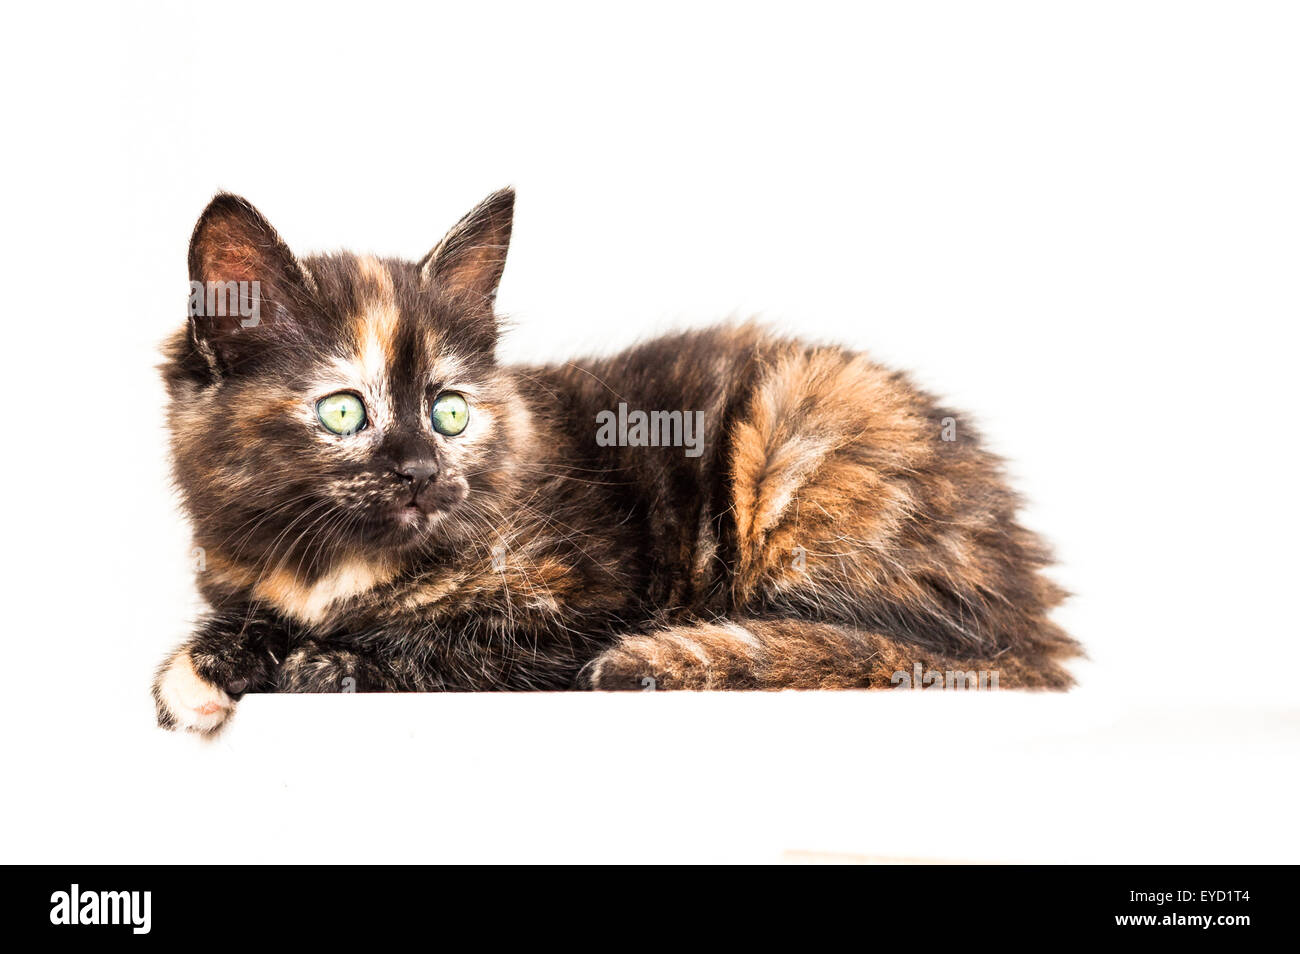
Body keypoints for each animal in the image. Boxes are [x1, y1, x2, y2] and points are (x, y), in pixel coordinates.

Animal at [152, 191, 1076, 738]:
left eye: (450, 411)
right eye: (344, 411)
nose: (420, 472)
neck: (333, 565)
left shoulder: (589, 600)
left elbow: (453, 642)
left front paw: (326, 662)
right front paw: (206, 664)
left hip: (800, 429)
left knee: (909, 649)